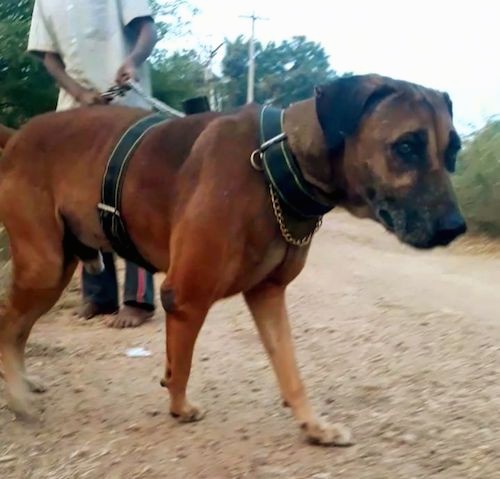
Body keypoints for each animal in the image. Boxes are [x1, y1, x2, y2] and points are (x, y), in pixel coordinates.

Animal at [0, 74, 464, 446]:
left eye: (453, 151)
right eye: (406, 146)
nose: (455, 228)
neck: (277, 163)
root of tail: (17, 135)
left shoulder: (269, 295)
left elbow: (291, 372)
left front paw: (314, 427)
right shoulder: (186, 297)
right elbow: (181, 366)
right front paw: (179, 408)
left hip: (56, 268)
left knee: (18, 330)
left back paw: (21, 383)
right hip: (43, 267)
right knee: (9, 326)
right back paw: (18, 395)